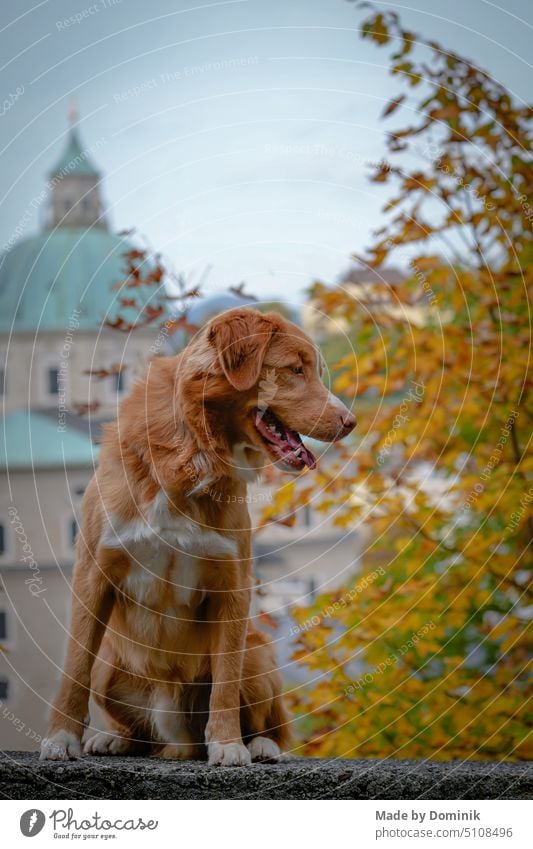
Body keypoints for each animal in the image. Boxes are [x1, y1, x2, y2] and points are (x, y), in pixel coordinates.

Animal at [39, 308, 356, 764]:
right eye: (295, 369)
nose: (351, 422)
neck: (193, 453)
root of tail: (181, 741)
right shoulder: (93, 572)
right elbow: (75, 665)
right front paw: (62, 738)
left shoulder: (232, 583)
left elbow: (225, 680)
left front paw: (226, 744)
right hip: (110, 667)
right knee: (136, 726)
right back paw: (114, 738)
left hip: (257, 655)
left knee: (270, 722)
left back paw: (259, 745)